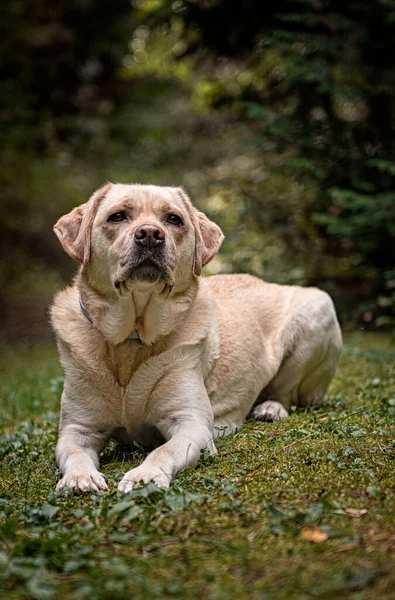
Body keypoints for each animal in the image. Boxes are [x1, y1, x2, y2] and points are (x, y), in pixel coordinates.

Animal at [51, 183, 342, 492]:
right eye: (117, 216)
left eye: (174, 219)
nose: (150, 234)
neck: (133, 335)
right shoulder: (77, 429)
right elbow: (74, 451)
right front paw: (79, 477)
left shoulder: (191, 424)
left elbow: (163, 450)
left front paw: (145, 475)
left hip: (317, 308)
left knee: (286, 392)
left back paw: (270, 408)